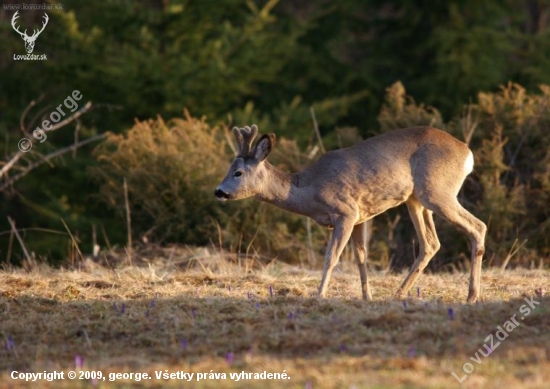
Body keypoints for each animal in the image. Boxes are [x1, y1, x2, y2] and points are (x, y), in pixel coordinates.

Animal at [216, 124, 488, 300]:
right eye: (229, 168)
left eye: (237, 173)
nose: (219, 192)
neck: (310, 189)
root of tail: (468, 154)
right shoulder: (360, 217)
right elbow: (361, 258)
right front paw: (367, 297)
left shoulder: (345, 212)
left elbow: (331, 257)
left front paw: (319, 295)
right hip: (416, 200)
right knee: (431, 243)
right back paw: (399, 293)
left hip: (437, 192)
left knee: (478, 226)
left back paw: (472, 296)